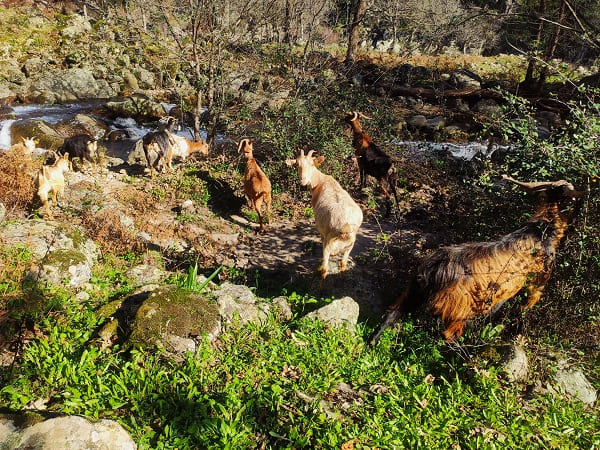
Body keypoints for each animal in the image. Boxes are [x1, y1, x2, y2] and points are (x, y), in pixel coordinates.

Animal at [368, 176, 588, 344]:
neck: (543, 229)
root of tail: (435, 270)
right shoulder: (537, 282)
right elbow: (524, 308)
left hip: (413, 291)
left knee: (392, 314)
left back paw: (372, 343)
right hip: (464, 309)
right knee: (449, 335)